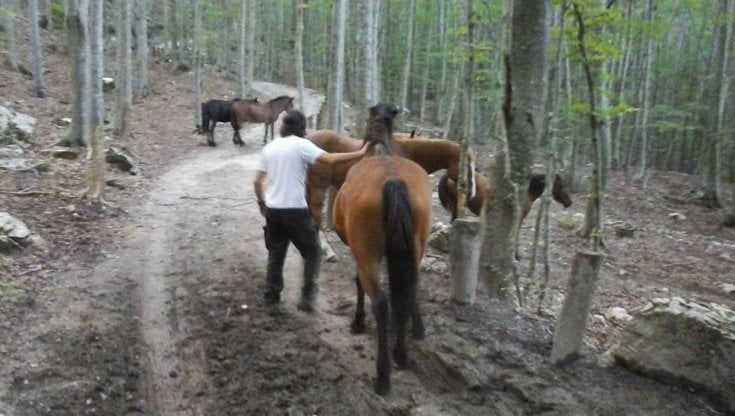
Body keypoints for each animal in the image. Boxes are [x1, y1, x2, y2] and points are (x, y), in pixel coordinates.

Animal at [332, 103, 432, 396]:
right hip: (416, 248)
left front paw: (357, 320)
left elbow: (358, 282)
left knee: (380, 301)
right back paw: (401, 354)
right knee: (408, 290)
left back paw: (383, 374)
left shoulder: (357, 251)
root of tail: (393, 180)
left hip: (367, 254)